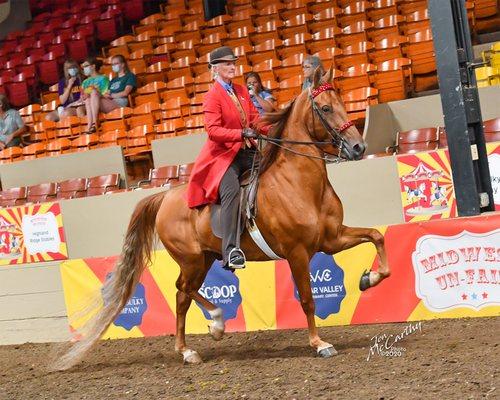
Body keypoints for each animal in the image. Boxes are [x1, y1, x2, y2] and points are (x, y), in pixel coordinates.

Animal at [55, 67, 390, 370]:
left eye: (343, 103)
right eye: (325, 108)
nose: (358, 146)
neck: (299, 183)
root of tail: (164, 197)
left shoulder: (331, 239)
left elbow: (377, 236)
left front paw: (369, 278)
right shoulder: (297, 252)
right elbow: (307, 298)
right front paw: (319, 344)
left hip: (203, 259)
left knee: (182, 296)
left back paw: (188, 350)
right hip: (191, 259)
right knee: (182, 289)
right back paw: (214, 324)